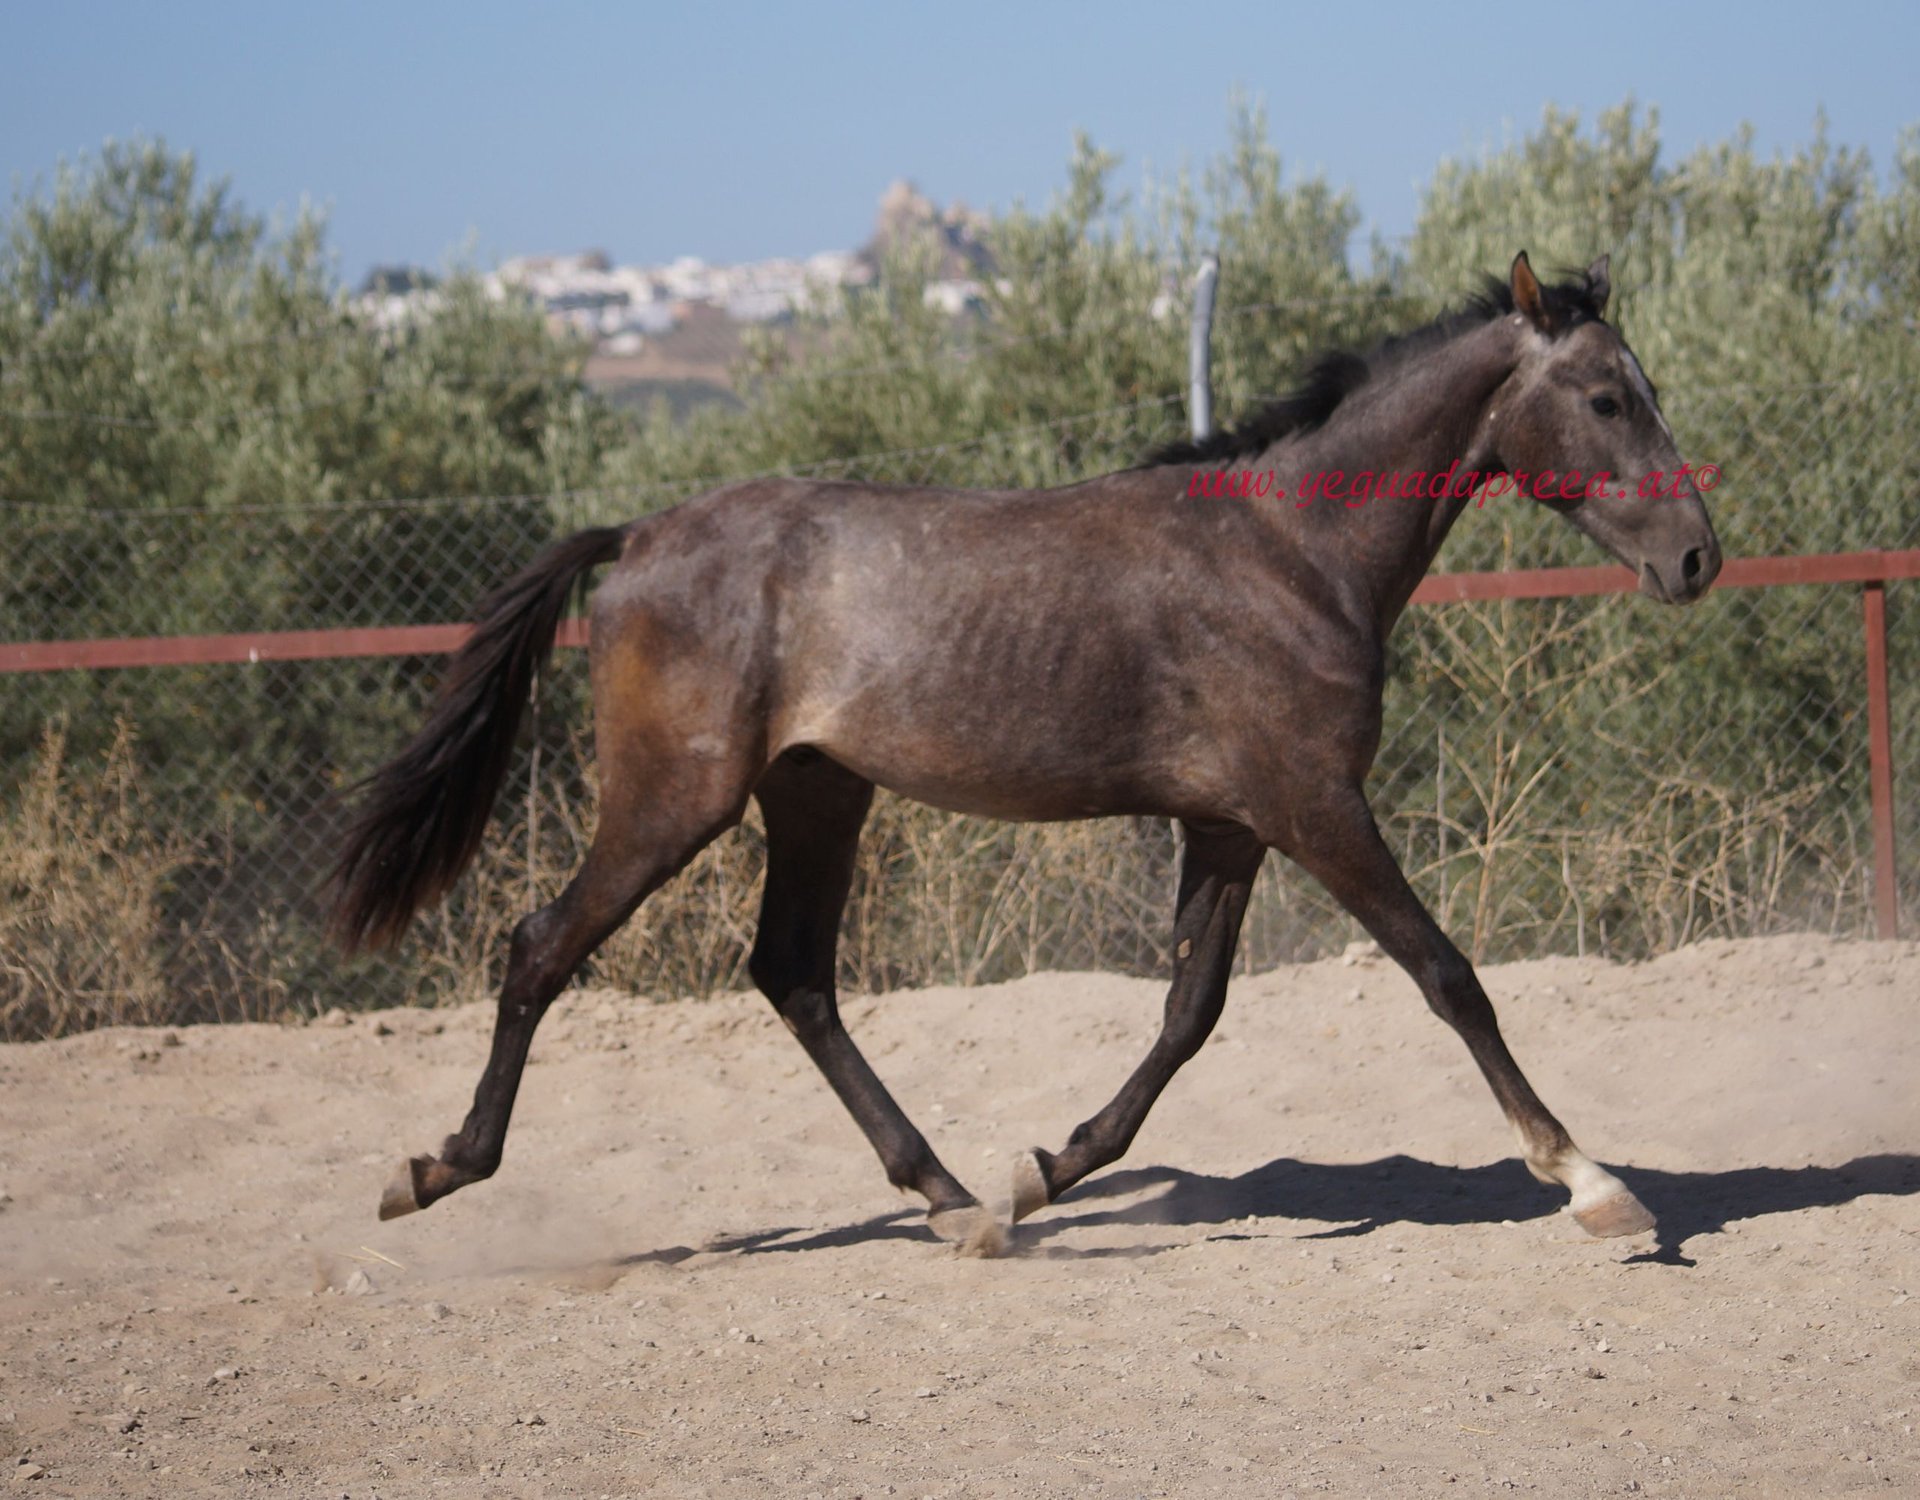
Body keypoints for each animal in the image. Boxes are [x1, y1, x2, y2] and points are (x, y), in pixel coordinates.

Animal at [334, 255, 1728, 1252]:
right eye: (1608, 398)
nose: (1697, 558)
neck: (1288, 555)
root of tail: (636, 539)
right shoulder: (1314, 805)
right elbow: (1449, 976)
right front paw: (1595, 1185)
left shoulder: (1229, 824)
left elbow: (1187, 1015)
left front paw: (1040, 1172)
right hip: (676, 798)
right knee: (540, 947)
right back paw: (431, 1172)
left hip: (817, 794)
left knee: (792, 975)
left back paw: (954, 1199)